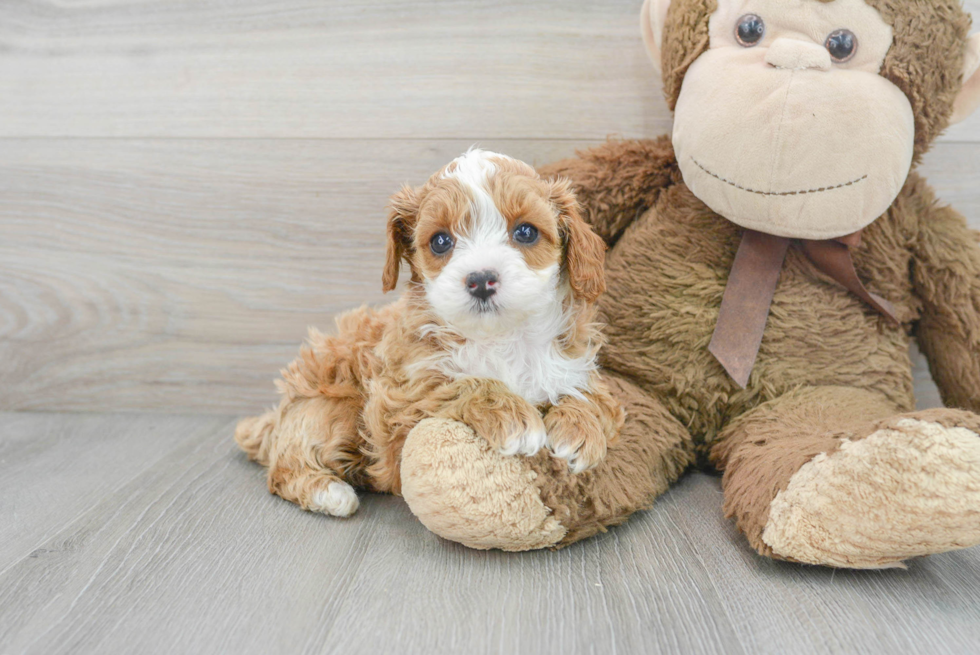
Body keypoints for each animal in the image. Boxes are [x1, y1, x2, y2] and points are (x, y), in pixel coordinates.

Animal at [234, 149, 624, 516]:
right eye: (440, 241)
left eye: (525, 232)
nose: (481, 279)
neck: (500, 337)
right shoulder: (400, 400)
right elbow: (456, 384)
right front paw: (514, 418)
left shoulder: (576, 364)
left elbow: (592, 394)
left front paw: (578, 431)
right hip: (329, 408)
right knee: (283, 468)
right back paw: (329, 493)